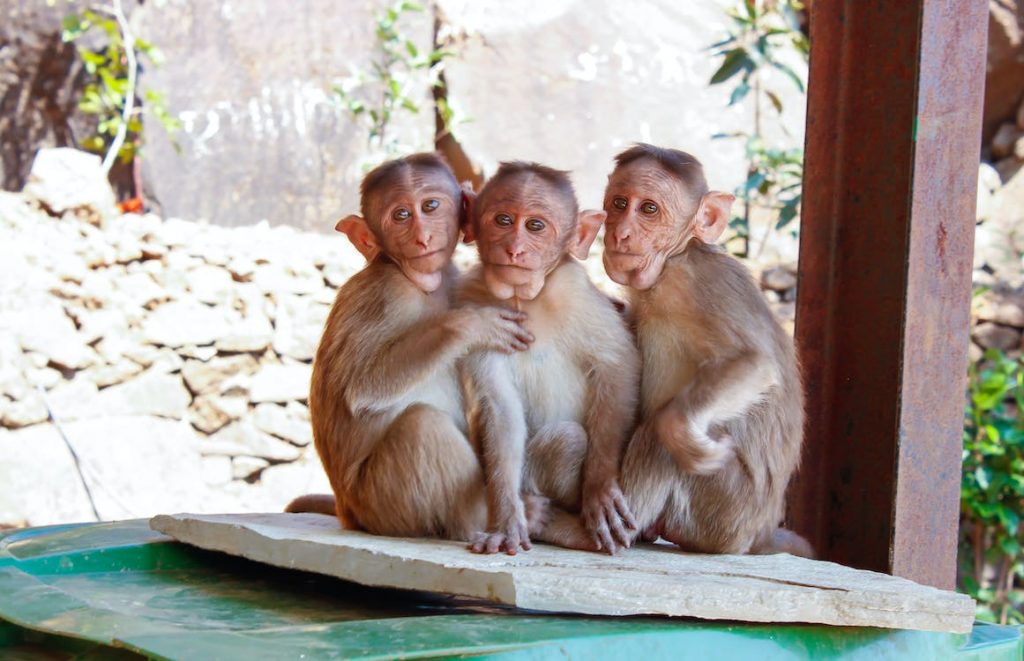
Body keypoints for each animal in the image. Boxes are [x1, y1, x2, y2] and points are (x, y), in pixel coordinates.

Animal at [286, 153, 537, 542]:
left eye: (430, 206)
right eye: (401, 215)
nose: (422, 238)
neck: (419, 283)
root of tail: (347, 512)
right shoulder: (388, 294)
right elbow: (361, 388)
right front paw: (471, 324)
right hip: (382, 501)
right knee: (422, 425)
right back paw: (485, 520)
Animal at [457, 161, 641, 555]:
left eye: (536, 226)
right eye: (504, 220)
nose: (514, 249)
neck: (522, 299)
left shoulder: (574, 290)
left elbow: (617, 365)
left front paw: (600, 487)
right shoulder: (472, 304)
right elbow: (500, 407)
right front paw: (506, 520)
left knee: (566, 440)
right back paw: (534, 513)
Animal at [597, 143, 810, 557]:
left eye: (649, 209)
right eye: (619, 203)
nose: (621, 233)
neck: (676, 257)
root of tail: (758, 533)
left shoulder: (697, 283)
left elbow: (755, 365)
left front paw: (681, 433)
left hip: (724, 513)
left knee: (658, 431)